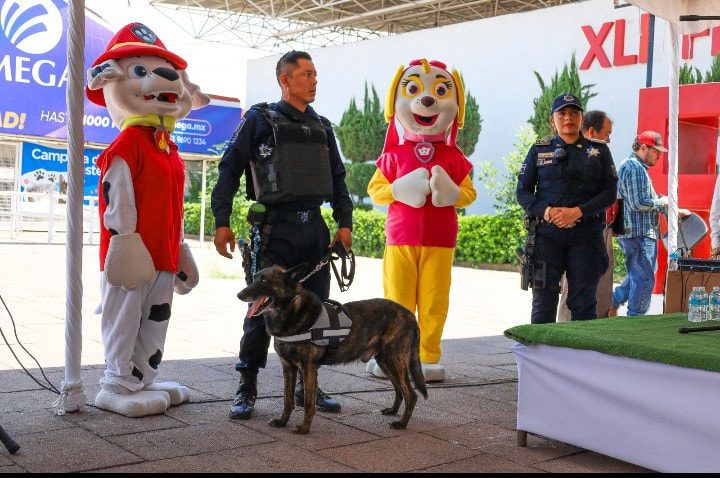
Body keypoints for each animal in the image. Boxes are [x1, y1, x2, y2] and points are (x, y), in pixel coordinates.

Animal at [238, 264, 428, 436]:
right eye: (254, 278)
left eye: (264, 280)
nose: (239, 295)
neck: (289, 311)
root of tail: (410, 315)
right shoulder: (289, 368)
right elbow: (287, 399)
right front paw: (282, 421)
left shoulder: (308, 367)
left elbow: (308, 402)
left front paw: (304, 428)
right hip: (385, 362)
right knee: (400, 389)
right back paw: (393, 411)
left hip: (393, 361)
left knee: (411, 394)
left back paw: (402, 423)